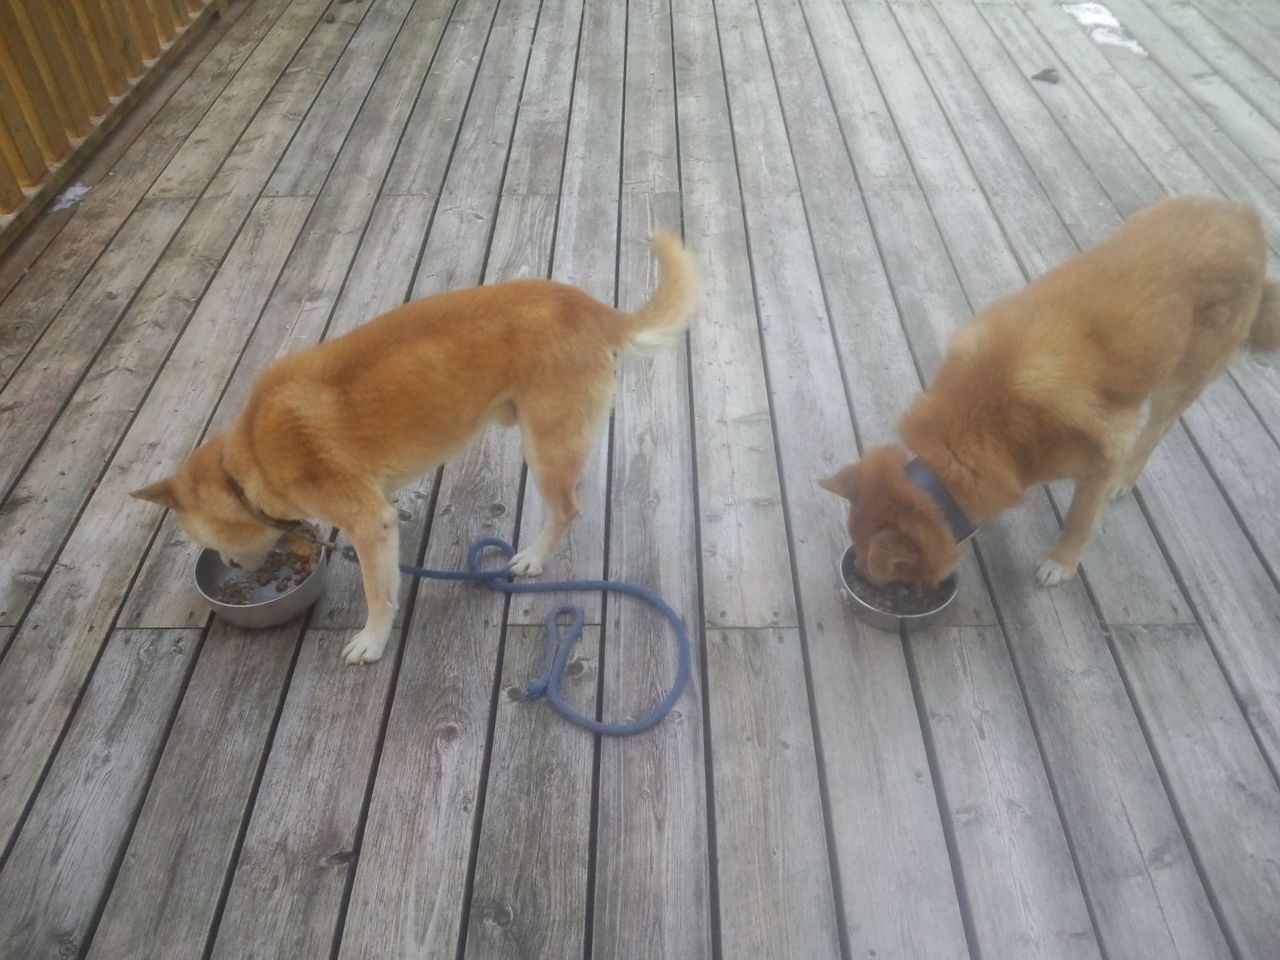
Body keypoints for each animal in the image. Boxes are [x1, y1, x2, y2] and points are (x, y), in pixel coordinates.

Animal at [132, 232, 696, 664]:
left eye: (208, 539)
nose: (243, 570)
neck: (246, 460)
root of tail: (588, 306)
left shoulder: (369, 524)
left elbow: (378, 595)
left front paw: (372, 642)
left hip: (544, 448)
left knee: (566, 508)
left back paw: (533, 557)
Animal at [821, 196, 1279, 591]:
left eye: (891, 572)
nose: (858, 576)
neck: (979, 422)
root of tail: (1245, 216)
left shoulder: (1107, 449)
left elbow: (1080, 518)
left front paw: (1062, 561)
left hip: (1181, 378)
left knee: (1157, 430)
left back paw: (1126, 478)